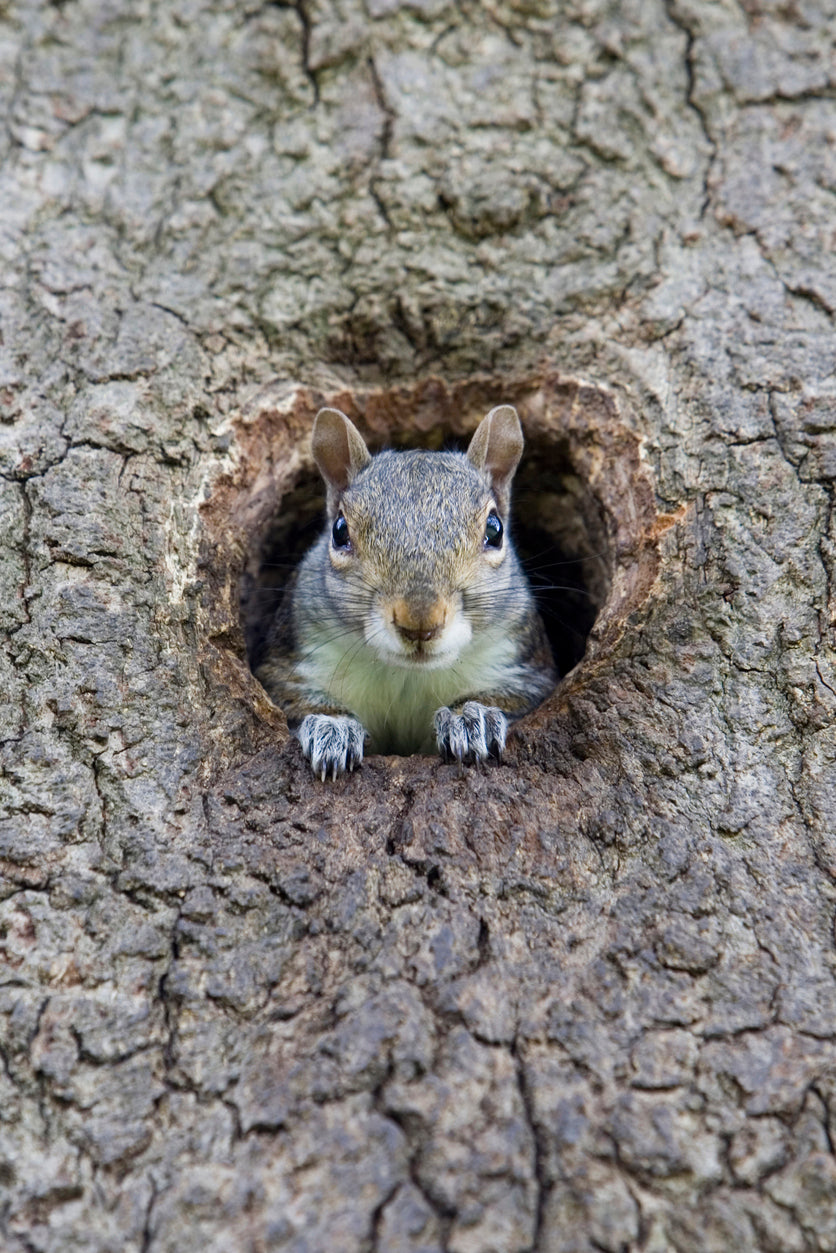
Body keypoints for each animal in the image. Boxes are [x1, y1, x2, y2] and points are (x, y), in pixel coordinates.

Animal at [255, 403, 556, 771]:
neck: (408, 676)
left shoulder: (525, 665)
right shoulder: (290, 663)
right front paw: (333, 727)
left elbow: (514, 696)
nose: (420, 623)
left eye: (495, 529)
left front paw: (472, 717)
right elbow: (295, 698)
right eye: (339, 531)